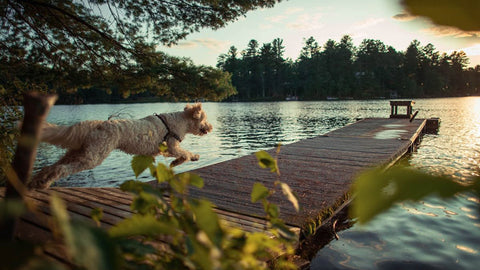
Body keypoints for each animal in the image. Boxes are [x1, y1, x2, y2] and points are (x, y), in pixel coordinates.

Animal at [28, 103, 212, 190]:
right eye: (204, 119)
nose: (211, 127)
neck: (180, 121)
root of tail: (98, 124)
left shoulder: (167, 150)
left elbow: (182, 155)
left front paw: (178, 162)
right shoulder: (171, 146)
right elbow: (185, 153)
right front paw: (190, 158)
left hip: (78, 152)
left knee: (51, 167)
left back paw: (38, 182)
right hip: (93, 157)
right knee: (61, 169)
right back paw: (43, 183)